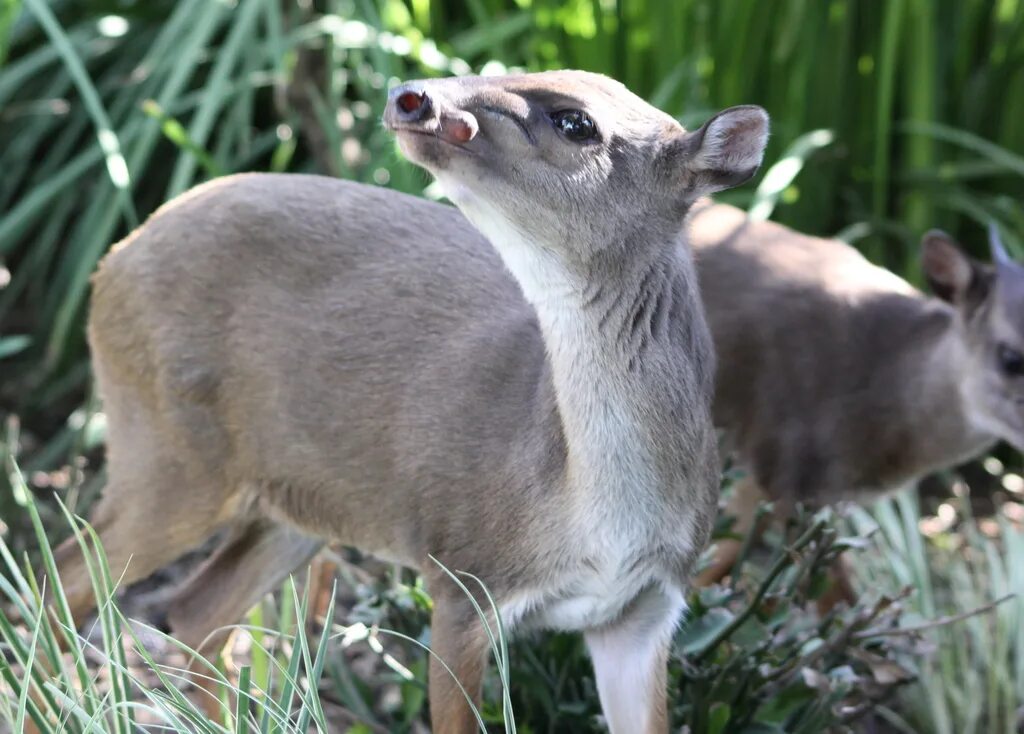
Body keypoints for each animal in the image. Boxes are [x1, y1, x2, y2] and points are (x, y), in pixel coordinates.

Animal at [49, 70, 770, 732]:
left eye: (576, 122)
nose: (411, 96)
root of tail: (113, 257)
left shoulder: (647, 609)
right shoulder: (463, 575)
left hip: (293, 500)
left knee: (194, 609)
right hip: (168, 447)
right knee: (61, 580)